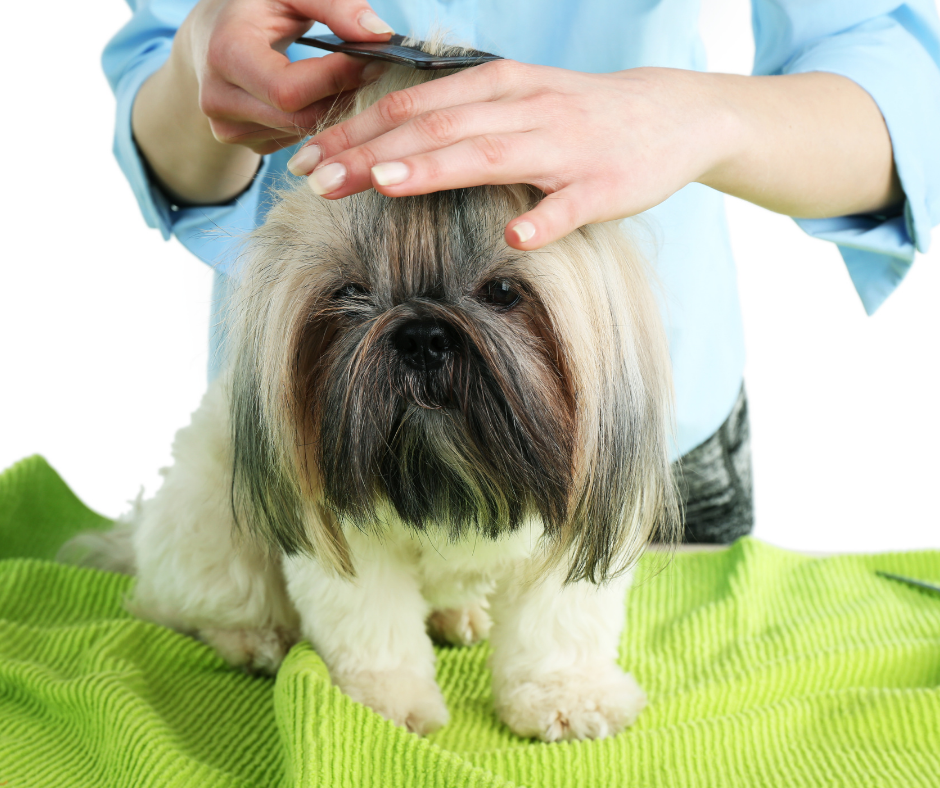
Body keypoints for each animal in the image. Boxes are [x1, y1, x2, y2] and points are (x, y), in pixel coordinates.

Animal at [68, 40, 684, 740]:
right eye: (350, 293)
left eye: (503, 291)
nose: (421, 336)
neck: (450, 482)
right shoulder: (345, 536)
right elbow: (374, 630)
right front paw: (387, 707)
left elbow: (557, 628)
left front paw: (567, 696)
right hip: (210, 521)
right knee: (194, 600)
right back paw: (254, 640)